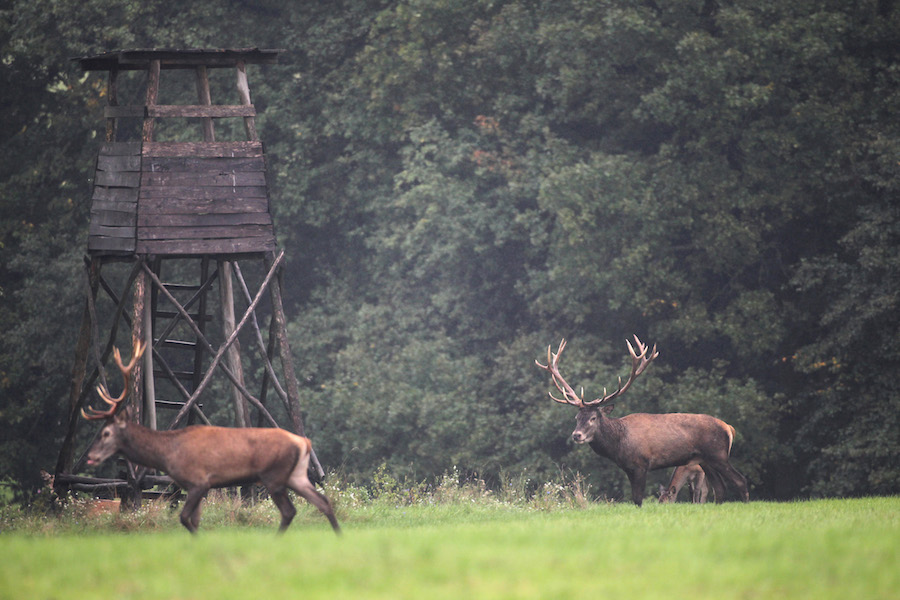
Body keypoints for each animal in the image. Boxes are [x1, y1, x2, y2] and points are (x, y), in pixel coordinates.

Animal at [82, 340, 342, 532]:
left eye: (106, 433)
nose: (90, 456)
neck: (168, 453)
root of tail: (304, 442)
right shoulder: (198, 486)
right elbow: (194, 520)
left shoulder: (198, 480)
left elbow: (185, 518)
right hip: (296, 475)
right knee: (323, 502)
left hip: (274, 475)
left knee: (290, 511)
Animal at [536, 338, 748, 506]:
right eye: (577, 418)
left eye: (593, 418)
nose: (576, 435)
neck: (619, 444)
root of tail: (729, 428)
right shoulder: (629, 468)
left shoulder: (641, 464)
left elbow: (638, 499)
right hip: (705, 460)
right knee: (719, 488)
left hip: (718, 454)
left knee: (740, 480)